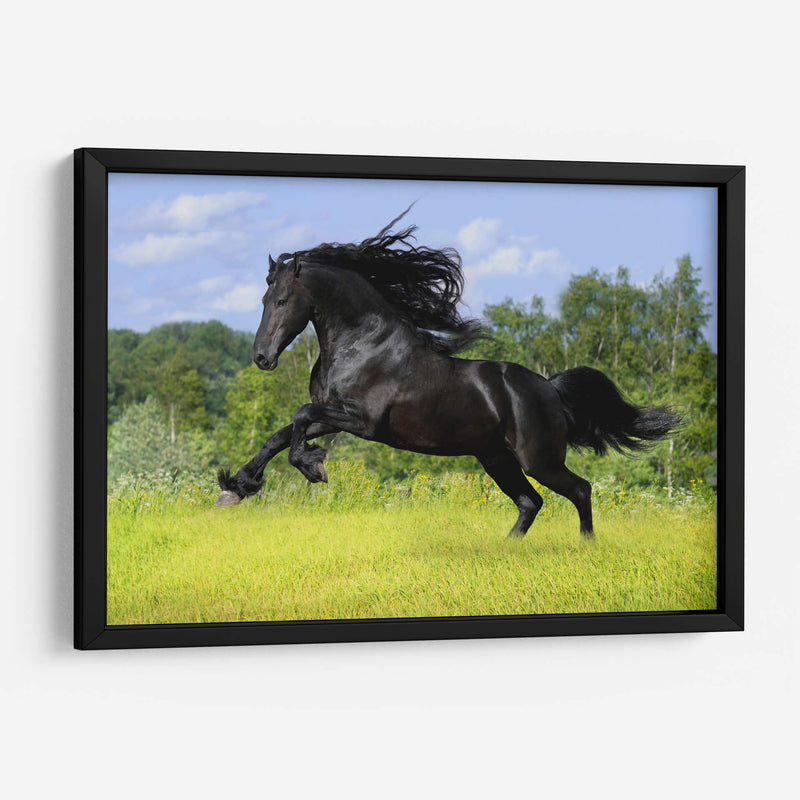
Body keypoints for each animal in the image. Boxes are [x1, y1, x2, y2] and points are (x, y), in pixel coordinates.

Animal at [216, 211, 680, 539]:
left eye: (280, 300)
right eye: (262, 299)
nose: (261, 357)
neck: (363, 345)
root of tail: (549, 388)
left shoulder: (361, 421)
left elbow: (297, 416)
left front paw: (313, 468)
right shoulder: (334, 415)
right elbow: (280, 434)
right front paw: (236, 487)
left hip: (539, 459)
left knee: (579, 490)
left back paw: (586, 547)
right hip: (496, 458)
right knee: (530, 503)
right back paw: (505, 550)